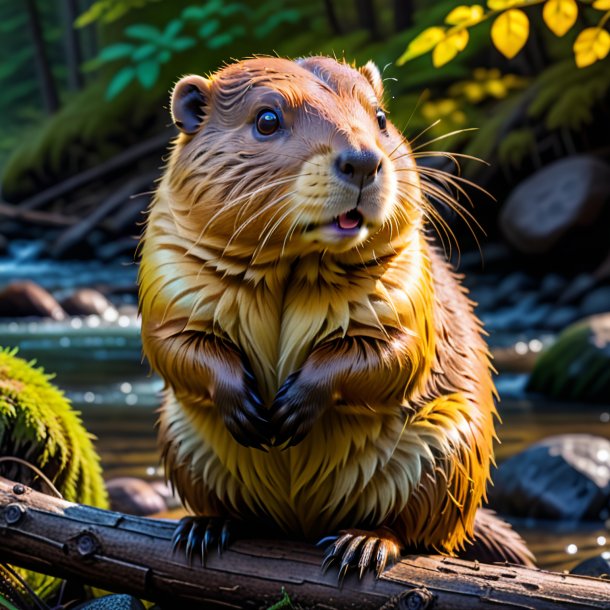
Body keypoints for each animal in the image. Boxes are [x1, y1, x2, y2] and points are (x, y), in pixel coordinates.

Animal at [137, 54, 528, 572]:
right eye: (267, 119)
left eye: (380, 117)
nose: (362, 161)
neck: (291, 267)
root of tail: (300, 524)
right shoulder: (170, 265)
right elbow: (171, 341)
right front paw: (249, 409)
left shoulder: (407, 281)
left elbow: (396, 351)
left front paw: (291, 407)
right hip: (181, 441)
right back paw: (206, 527)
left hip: (448, 448)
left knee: (414, 529)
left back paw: (361, 544)